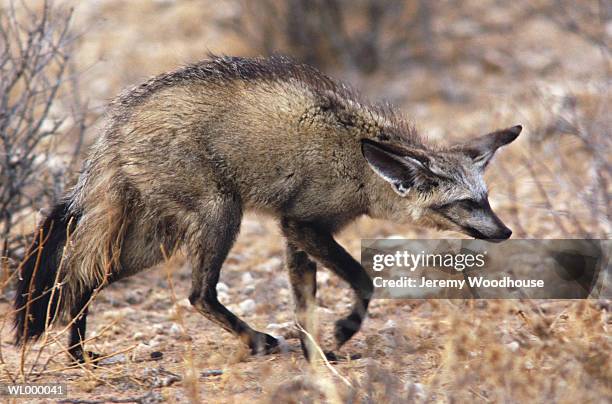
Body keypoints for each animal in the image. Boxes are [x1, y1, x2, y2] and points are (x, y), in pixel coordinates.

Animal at [13, 54, 520, 362]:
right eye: (466, 203)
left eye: (486, 199)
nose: (506, 233)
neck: (359, 162)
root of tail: (115, 125)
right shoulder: (302, 225)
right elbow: (363, 281)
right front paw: (342, 331)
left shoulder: (296, 234)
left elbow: (304, 305)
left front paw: (318, 354)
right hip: (220, 216)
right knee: (196, 294)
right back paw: (255, 339)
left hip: (158, 241)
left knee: (82, 277)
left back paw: (78, 355)